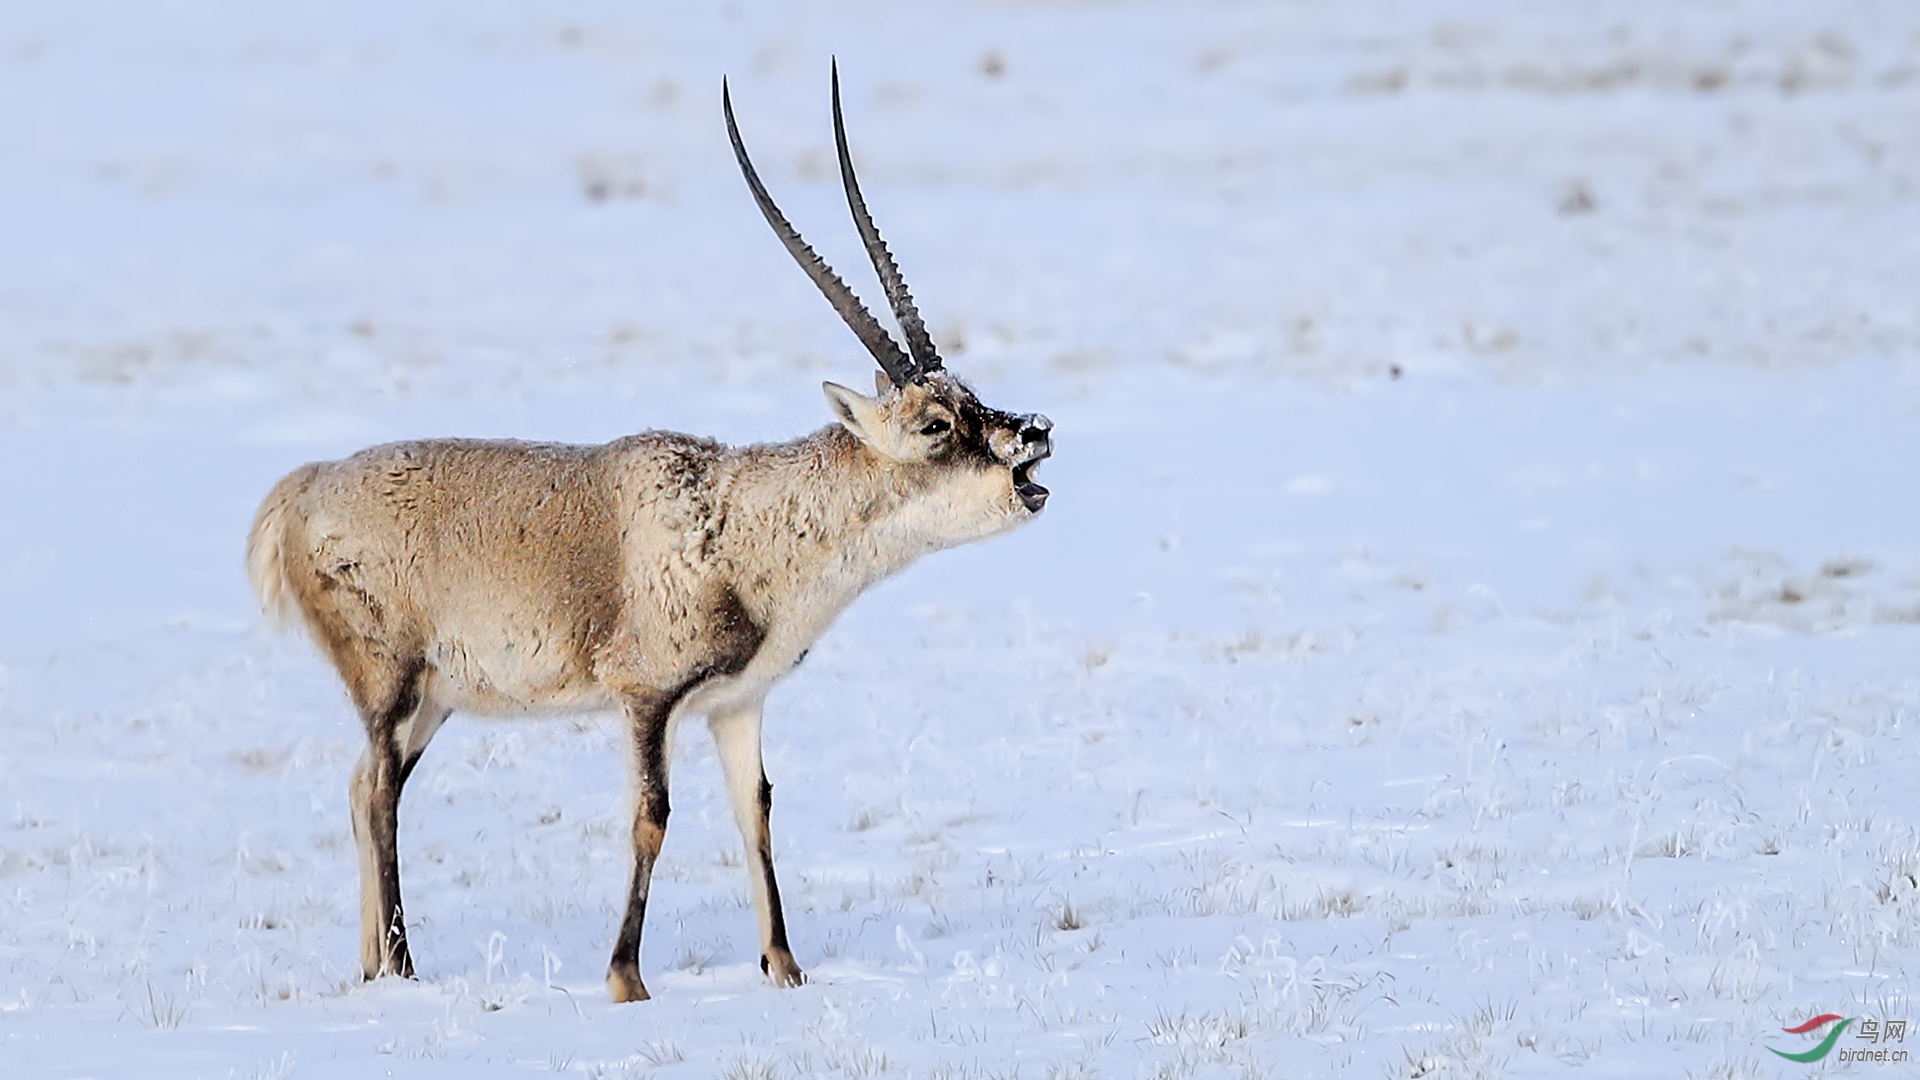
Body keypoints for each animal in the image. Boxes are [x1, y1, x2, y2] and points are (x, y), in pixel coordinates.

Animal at [241, 69, 1059, 999]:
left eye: (971, 395)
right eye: (934, 424)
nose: (1034, 433)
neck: (737, 518)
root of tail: (303, 488)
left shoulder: (737, 704)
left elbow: (756, 812)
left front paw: (785, 970)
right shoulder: (647, 699)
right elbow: (652, 818)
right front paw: (625, 978)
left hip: (437, 699)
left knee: (359, 789)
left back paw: (374, 968)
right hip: (390, 683)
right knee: (379, 795)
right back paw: (404, 967)